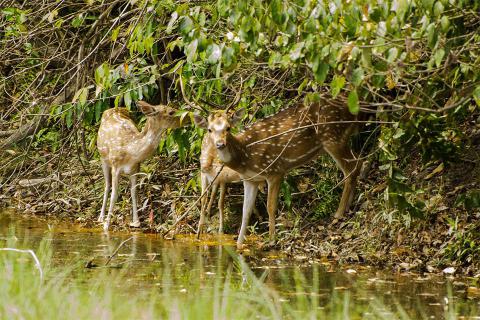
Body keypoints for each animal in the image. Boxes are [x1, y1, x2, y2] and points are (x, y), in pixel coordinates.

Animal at [96, 102, 188, 230]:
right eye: (171, 112)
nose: (188, 118)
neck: (130, 151)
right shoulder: (115, 166)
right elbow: (114, 194)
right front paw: (107, 225)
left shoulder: (135, 168)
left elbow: (134, 192)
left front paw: (136, 222)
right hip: (103, 159)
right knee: (107, 185)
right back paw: (101, 217)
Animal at [191, 96, 360, 249]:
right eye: (209, 129)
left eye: (228, 127)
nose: (220, 144)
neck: (246, 156)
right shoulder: (250, 179)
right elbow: (246, 211)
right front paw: (239, 245)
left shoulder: (275, 170)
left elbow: (270, 207)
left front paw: (272, 240)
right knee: (358, 163)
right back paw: (348, 207)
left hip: (333, 137)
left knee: (351, 169)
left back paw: (338, 214)